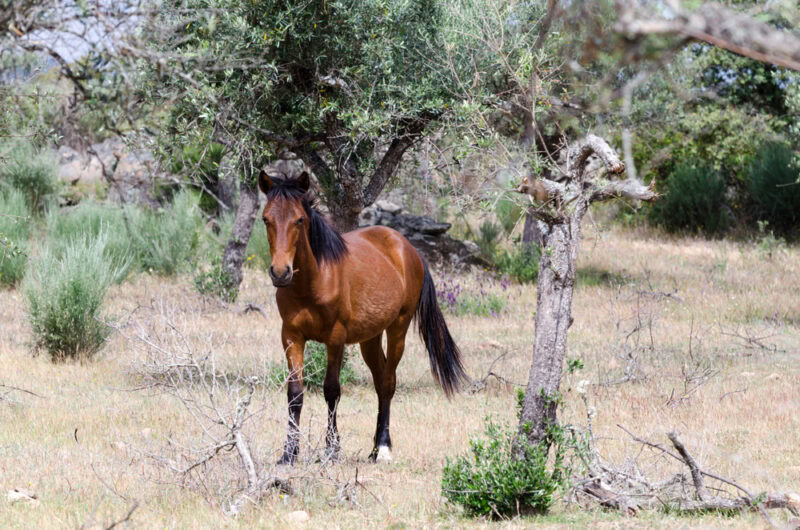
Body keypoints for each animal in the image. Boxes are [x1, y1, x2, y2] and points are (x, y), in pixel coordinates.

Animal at [257, 171, 468, 464]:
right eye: (266, 218)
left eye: (299, 219)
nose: (280, 272)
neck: (314, 280)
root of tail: (407, 248)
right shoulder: (291, 337)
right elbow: (295, 394)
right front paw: (289, 453)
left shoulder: (335, 339)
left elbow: (332, 391)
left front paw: (332, 450)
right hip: (370, 338)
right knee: (380, 382)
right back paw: (374, 448)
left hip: (398, 329)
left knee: (388, 383)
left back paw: (383, 448)